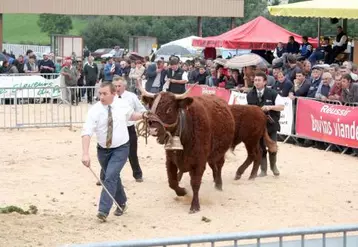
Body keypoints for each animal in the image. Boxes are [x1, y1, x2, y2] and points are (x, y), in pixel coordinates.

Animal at [136, 82, 235, 213]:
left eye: (169, 109)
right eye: (151, 107)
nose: (153, 130)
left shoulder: (199, 162)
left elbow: (195, 183)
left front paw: (195, 205)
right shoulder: (170, 160)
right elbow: (172, 182)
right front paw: (182, 191)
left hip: (220, 153)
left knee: (218, 166)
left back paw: (218, 184)